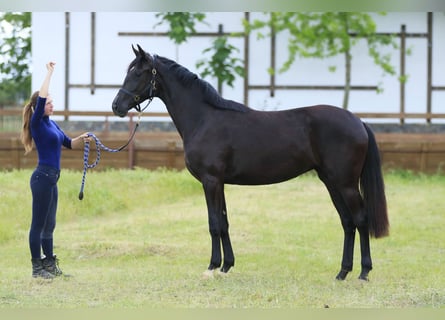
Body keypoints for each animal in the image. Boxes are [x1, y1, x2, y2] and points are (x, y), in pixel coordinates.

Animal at [112, 44, 386, 280]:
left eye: (138, 73)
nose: (116, 106)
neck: (204, 119)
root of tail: (358, 121)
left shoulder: (210, 181)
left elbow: (214, 223)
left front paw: (211, 267)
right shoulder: (219, 183)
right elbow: (224, 222)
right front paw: (226, 266)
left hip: (345, 183)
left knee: (360, 219)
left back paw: (363, 272)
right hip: (331, 181)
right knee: (347, 222)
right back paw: (342, 272)